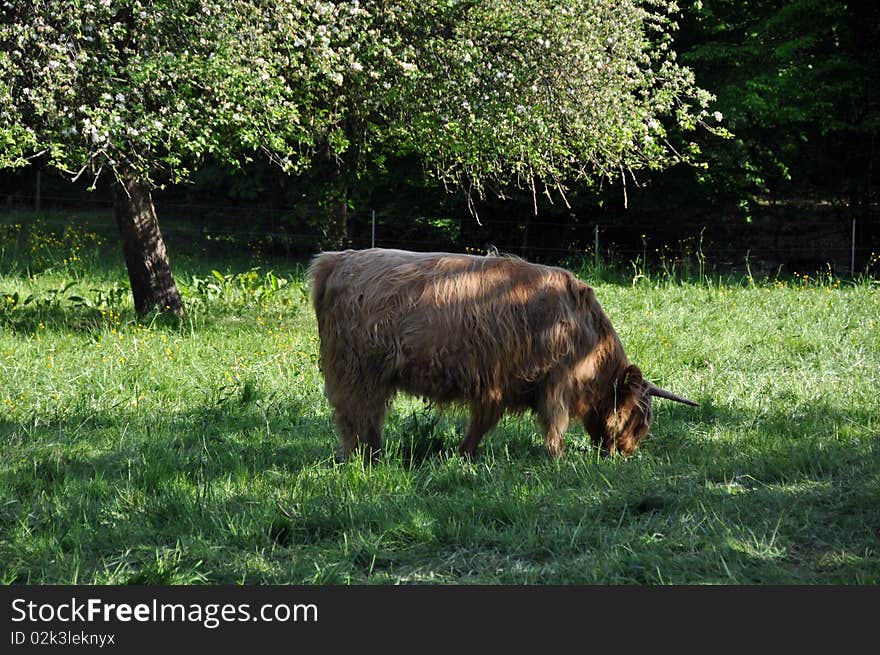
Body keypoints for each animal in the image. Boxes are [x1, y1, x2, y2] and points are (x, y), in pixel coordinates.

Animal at [308, 249, 696, 458]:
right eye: (639, 416)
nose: (627, 452)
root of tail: (337, 259)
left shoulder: (495, 385)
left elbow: (482, 423)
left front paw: (464, 454)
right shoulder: (556, 382)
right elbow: (554, 424)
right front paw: (559, 458)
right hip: (357, 372)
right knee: (357, 417)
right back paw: (367, 457)